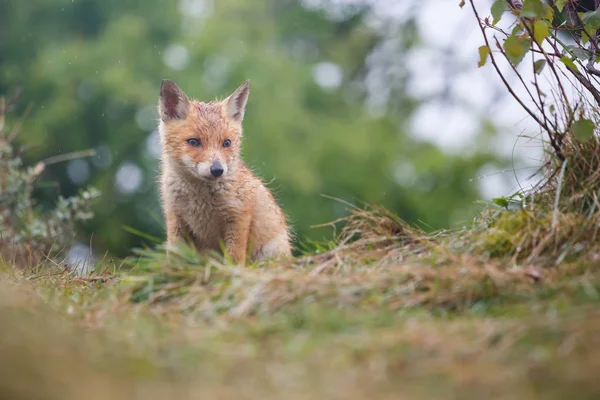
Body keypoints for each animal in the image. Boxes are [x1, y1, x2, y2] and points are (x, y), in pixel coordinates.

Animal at [158, 79, 292, 264]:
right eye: (194, 142)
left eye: (226, 143)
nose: (217, 170)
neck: (199, 201)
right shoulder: (175, 217)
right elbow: (174, 257)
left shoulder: (238, 217)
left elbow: (234, 258)